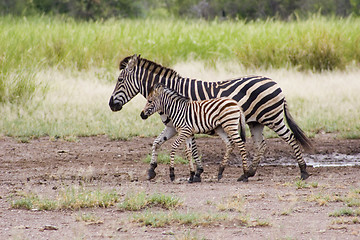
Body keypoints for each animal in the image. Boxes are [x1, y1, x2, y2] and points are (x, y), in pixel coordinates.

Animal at [109, 54, 312, 181]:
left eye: (120, 80)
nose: (111, 105)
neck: (169, 97)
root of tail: (275, 82)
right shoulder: (173, 127)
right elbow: (157, 143)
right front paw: (151, 170)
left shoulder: (187, 124)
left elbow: (193, 149)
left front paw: (197, 173)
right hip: (256, 123)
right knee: (261, 145)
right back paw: (249, 173)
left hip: (273, 118)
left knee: (290, 138)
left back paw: (303, 171)